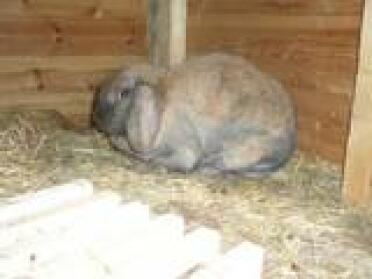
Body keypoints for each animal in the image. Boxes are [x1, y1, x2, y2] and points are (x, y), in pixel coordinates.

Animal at [93, 53, 296, 177]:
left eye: (124, 93)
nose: (96, 119)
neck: (161, 100)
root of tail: (288, 145)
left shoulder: (184, 147)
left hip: (246, 149)